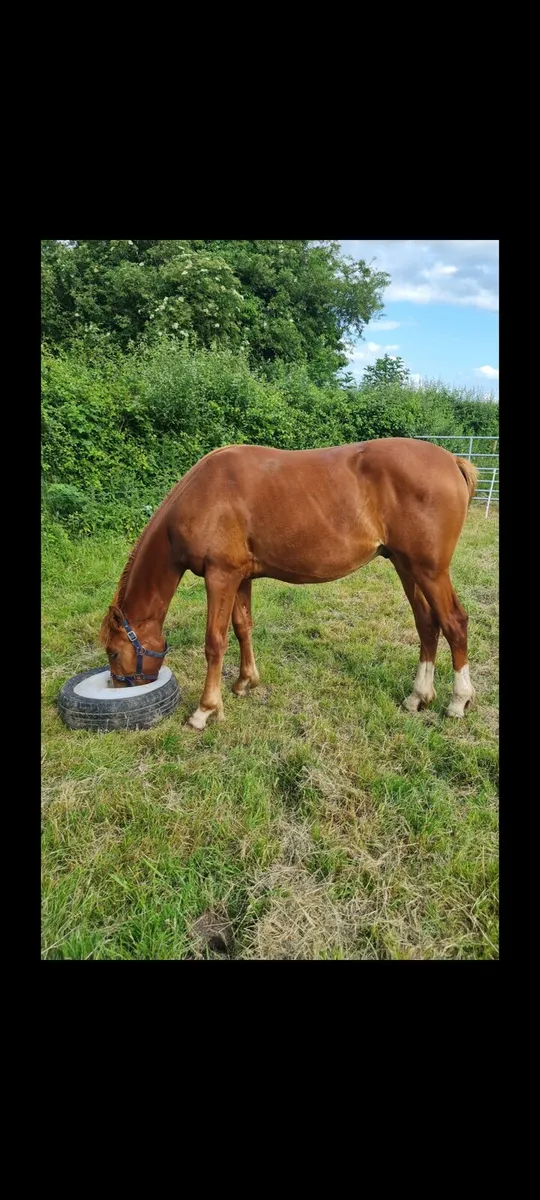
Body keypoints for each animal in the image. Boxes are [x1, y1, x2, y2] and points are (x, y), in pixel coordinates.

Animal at [100, 438, 478, 730]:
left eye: (114, 652)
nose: (119, 693)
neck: (203, 495)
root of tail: (452, 461)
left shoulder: (220, 576)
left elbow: (215, 642)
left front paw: (205, 711)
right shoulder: (240, 577)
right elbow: (243, 627)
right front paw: (245, 682)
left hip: (430, 571)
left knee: (454, 622)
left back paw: (458, 701)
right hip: (405, 566)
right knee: (427, 624)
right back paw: (418, 697)